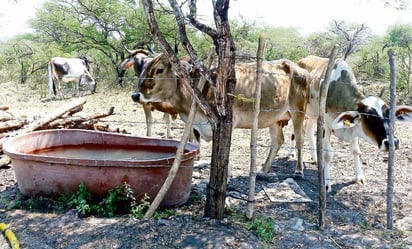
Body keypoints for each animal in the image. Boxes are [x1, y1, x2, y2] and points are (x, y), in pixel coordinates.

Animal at [131, 54, 308, 178]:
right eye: (143, 69)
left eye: (159, 69)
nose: (135, 95)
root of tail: (297, 67)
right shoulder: (197, 125)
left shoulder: (226, 123)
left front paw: (227, 176)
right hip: (275, 119)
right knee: (278, 141)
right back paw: (263, 170)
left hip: (298, 112)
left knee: (299, 139)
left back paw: (299, 170)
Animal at [296, 55, 412, 192]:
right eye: (368, 116)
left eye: (389, 114)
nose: (392, 142)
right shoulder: (326, 127)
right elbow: (327, 154)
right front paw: (326, 183)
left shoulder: (354, 129)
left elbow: (356, 151)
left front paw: (359, 177)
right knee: (298, 134)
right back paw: (298, 168)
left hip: (313, 115)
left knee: (308, 130)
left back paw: (315, 159)